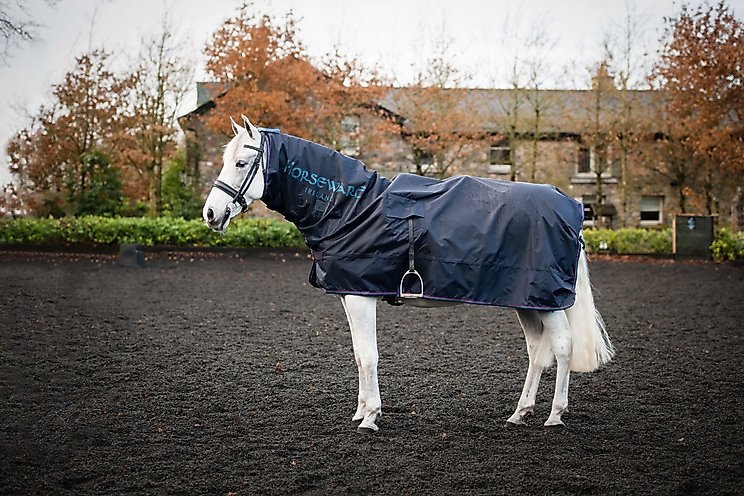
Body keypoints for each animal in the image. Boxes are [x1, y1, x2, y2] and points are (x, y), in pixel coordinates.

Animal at [203, 115, 614, 433]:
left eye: (241, 163)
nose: (210, 213)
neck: (351, 207)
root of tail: (571, 207)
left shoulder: (361, 296)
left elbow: (369, 356)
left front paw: (371, 417)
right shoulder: (349, 295)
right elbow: (358, 355)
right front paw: (360, 412)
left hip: (548, 301)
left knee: (562, 347)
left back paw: (554, 415)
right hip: (527, 301)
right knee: (537, 352)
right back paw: (520, 413)